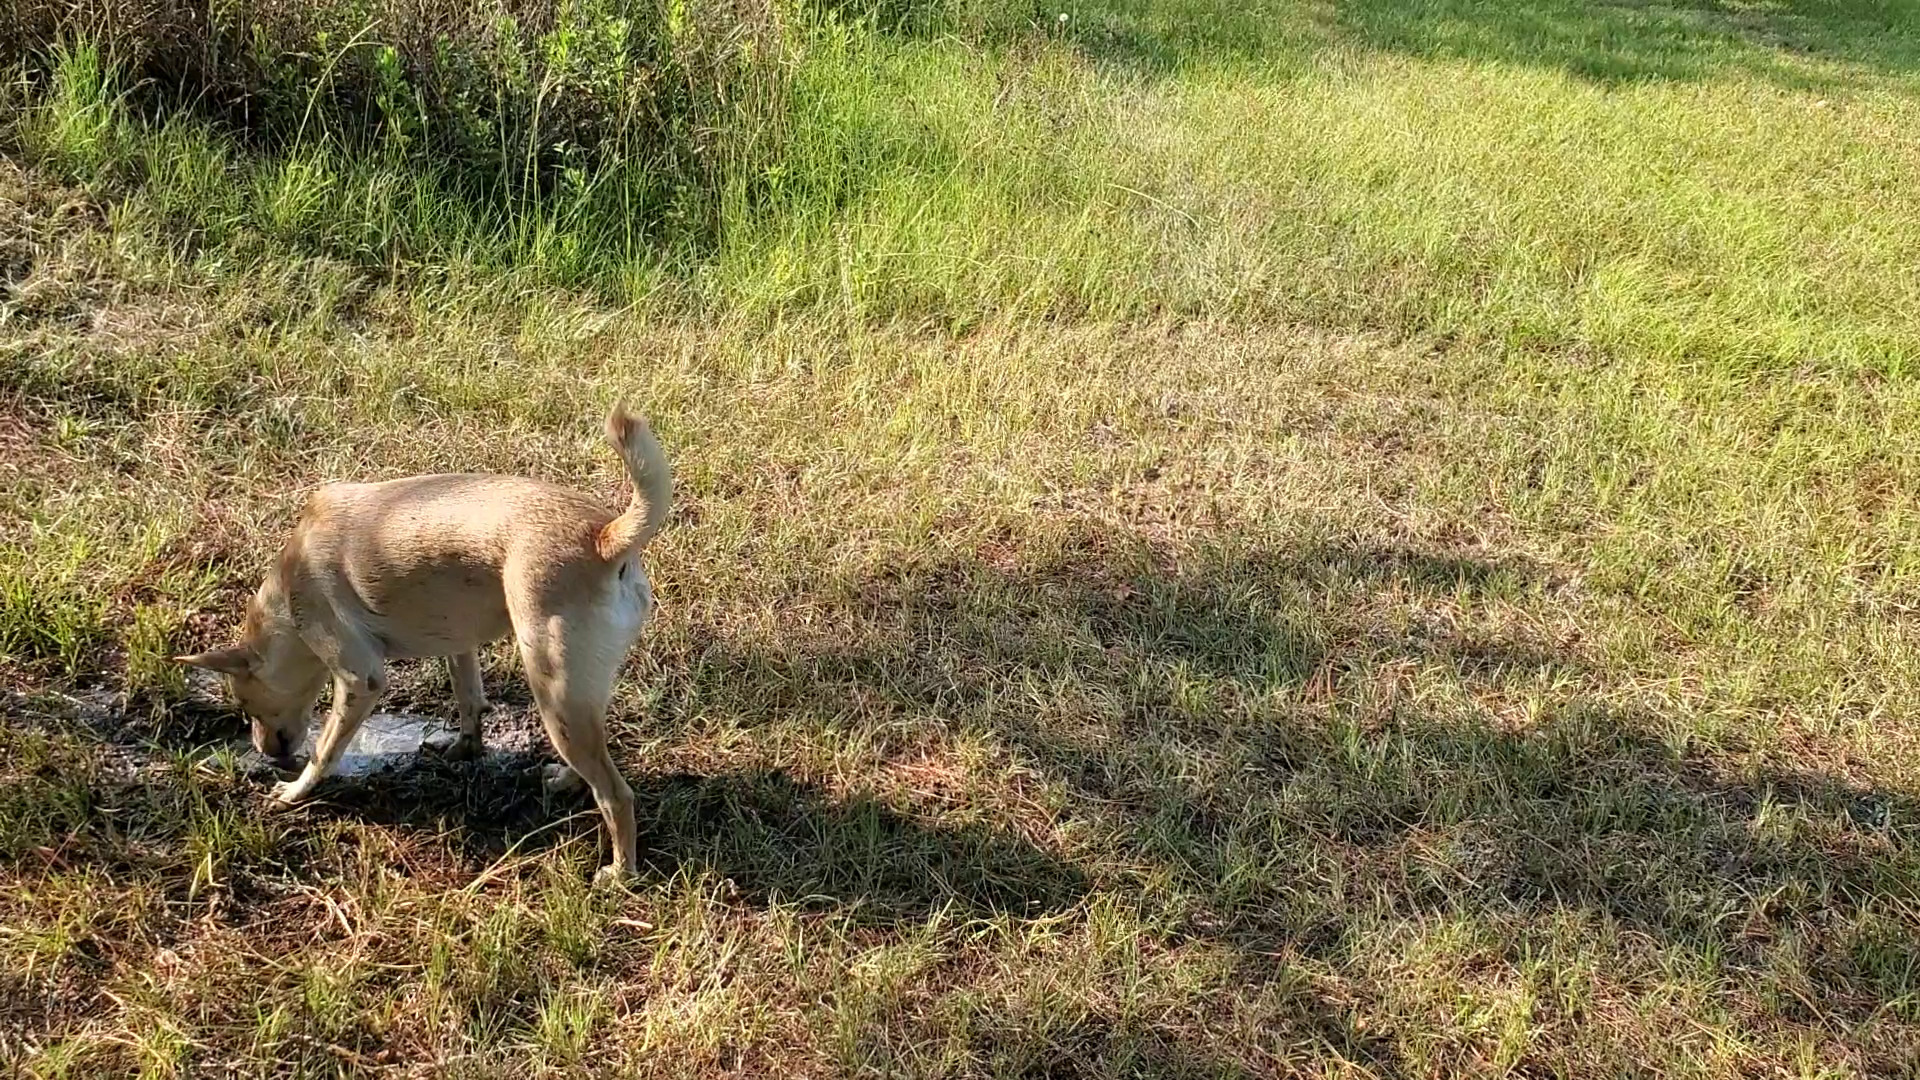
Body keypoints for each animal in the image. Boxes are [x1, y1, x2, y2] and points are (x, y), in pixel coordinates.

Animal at [180, 407, 672, 880]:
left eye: (247, 706)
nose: (265, 752)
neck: (287, 588)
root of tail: (605, 538)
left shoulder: (360, 680)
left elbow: (325, 751)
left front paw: (296, 790)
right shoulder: (459, 642)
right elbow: (469, 698)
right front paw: (465, 748)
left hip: (554, 694)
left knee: (616, 795)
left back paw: (620, 871)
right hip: (574, 698)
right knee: (595, 755)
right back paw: (568, 780)